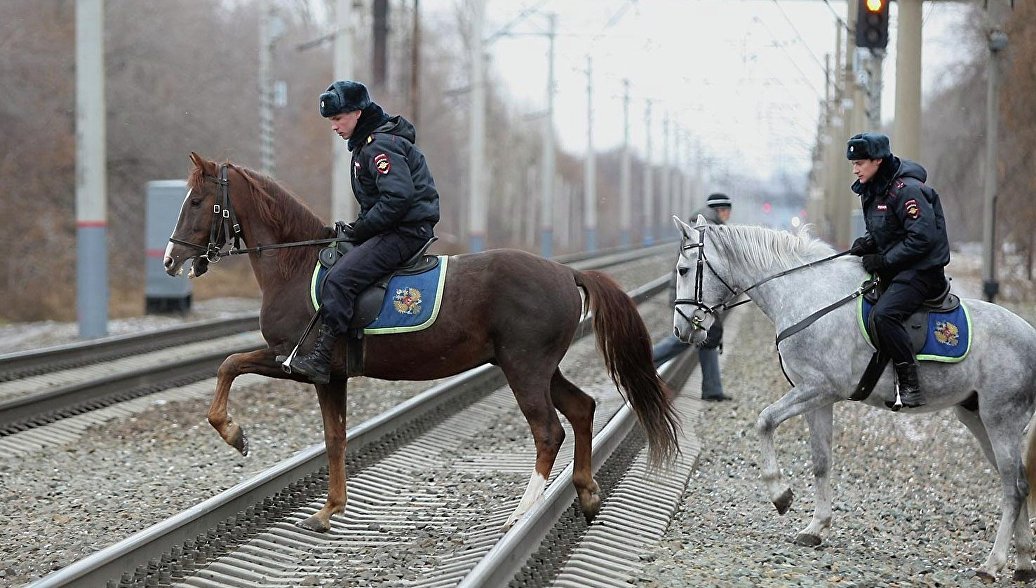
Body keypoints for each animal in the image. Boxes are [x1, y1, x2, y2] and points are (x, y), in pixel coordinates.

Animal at [163, 151, 679, 534]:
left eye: (196, 201)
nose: (170, 259)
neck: (296, 264)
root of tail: (566, 272)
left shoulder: (297, 360)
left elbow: (229, 364)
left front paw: (235, 435)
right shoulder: (330, 376)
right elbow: (334, 437)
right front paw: (328, 511)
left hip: (525, 367)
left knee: (549, 430)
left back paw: (521, 514)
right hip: (539, 367)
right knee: (582, 409)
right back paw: (587, 493)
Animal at [667, 213, 1036, 579]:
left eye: (683, 270)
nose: (680, 330)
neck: (807, 295)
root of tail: (1031, 336)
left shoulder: (818, 389)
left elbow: (765, 421)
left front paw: (780, 495)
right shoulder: (817, 400)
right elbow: (821, 461)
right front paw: (815, 527)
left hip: (1000, 419)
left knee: (1013, 489)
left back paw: (993, 564)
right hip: (977, 418)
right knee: (1019, 483)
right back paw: (1022, 564)